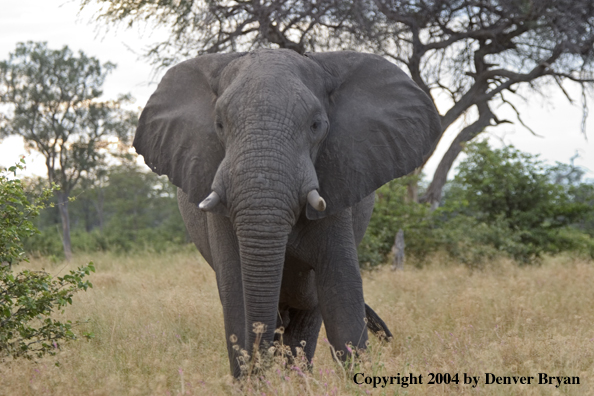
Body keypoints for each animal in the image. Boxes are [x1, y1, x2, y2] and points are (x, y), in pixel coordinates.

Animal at [133, 48, 440, 376]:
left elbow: (341, 292)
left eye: (316, 125)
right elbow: (236, 293)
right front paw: (252, 378)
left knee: (307, 319)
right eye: (219, 125)